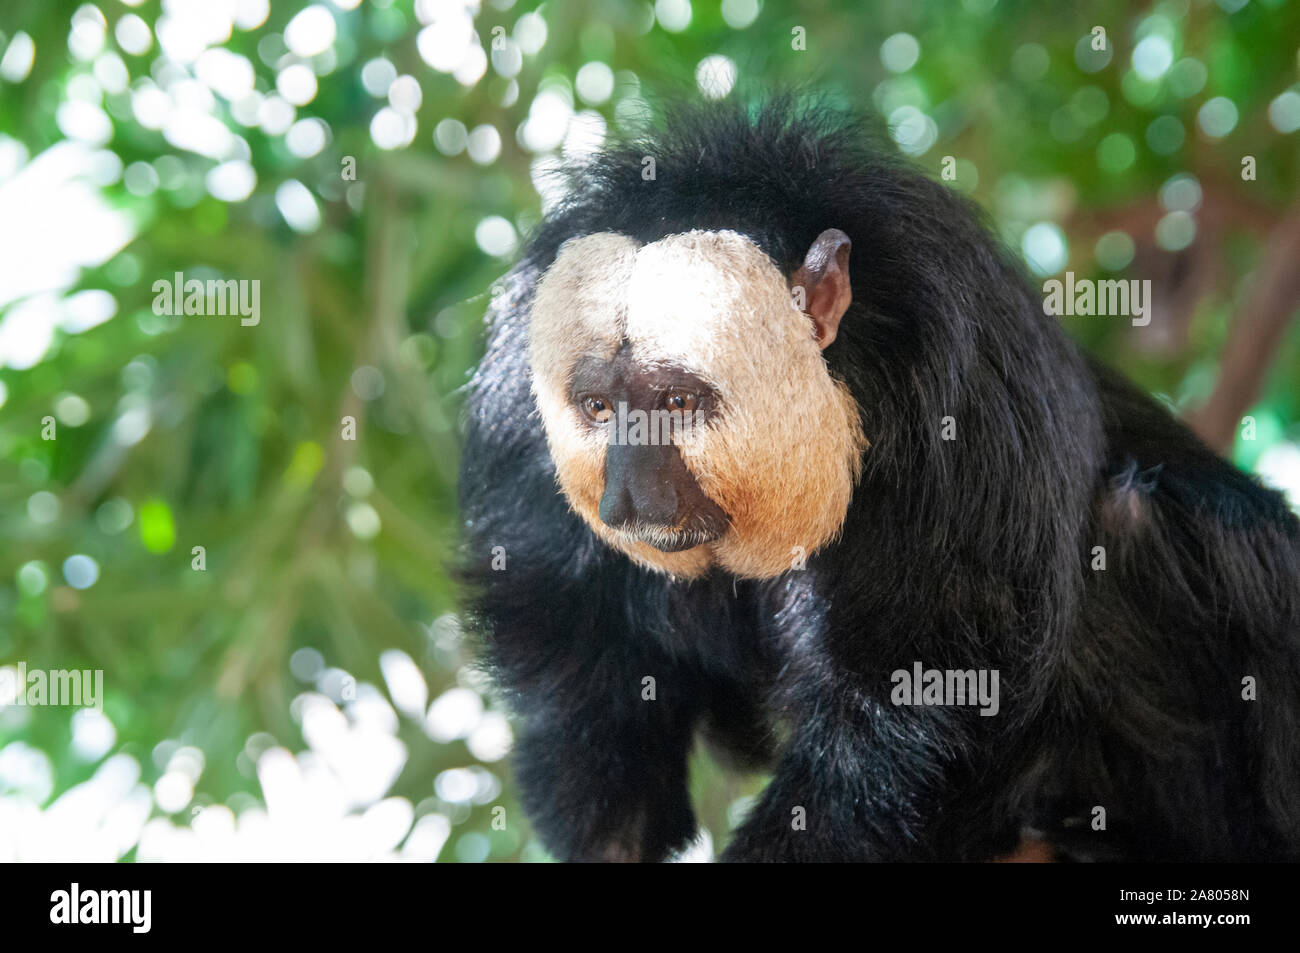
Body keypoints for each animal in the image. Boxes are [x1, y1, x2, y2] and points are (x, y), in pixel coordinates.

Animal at [457, 98, 1300, 863]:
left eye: (676, 403)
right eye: (600, 407)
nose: (628, 494)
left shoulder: (960, 403)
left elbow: (926, 699)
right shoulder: (519, 431)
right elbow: (584, 675)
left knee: (1139, 521)